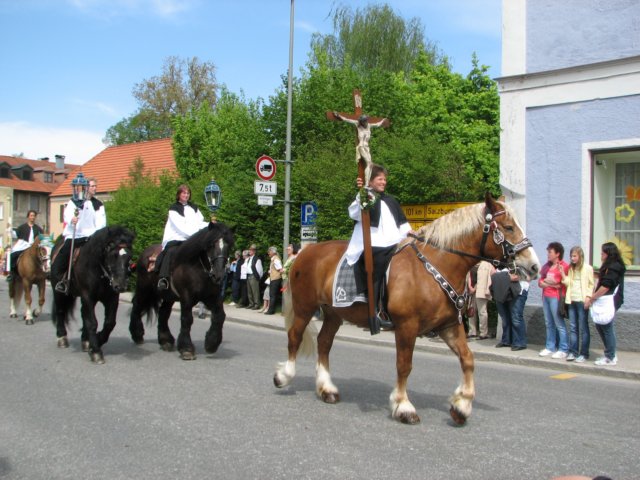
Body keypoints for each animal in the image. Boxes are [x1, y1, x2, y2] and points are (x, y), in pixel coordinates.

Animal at [52, 225, 136, 364]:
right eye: (113, 255)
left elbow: (109, 323)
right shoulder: (88, 297)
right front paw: (96, 351)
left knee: (82, 314)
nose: (121, 285)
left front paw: (96, 342)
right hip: (59, 291)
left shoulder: (112, 298)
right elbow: (92, 322)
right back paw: (62, 337)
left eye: (129, 256)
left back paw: (86, 340)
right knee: (60, 311)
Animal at [129, 221, 234, 360]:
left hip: (168, 296)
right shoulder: (186, 297)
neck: (198, 269)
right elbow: (187, 319)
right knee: (137, 305)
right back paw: (137, 335)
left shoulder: (212, 297)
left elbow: (220, 316)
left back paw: (165, 340)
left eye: (229, 245)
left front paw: (211, 344)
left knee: (163, 313)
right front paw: (186, 349)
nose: (219, 275)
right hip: (144, 289)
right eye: (211, 245)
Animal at [274, 194, 540, 424]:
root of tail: (306, 251)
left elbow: (467, 359)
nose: (534, 266)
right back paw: (284, 376)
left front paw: (462, 405)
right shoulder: (407, 327)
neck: (434, 268)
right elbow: (404, 365)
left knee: (324, 343)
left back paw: (326, 388)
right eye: (508, 227)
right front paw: (403, 406)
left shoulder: (449, 326)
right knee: (295, 336)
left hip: (333, 314)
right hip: (305, 307)